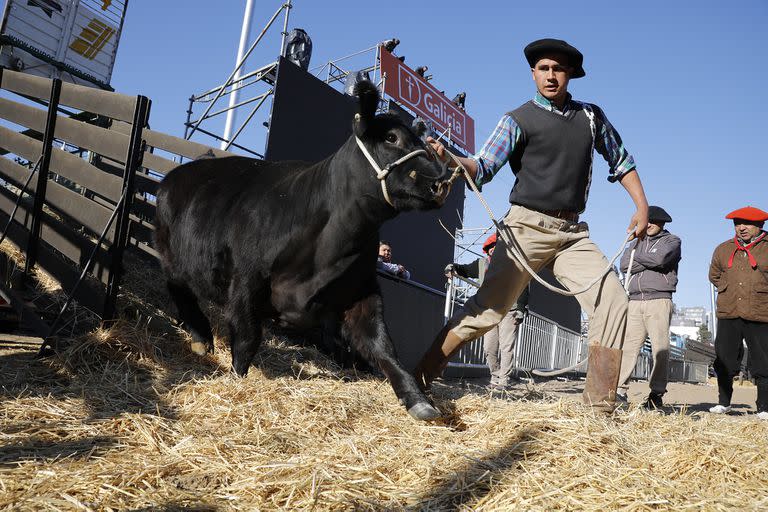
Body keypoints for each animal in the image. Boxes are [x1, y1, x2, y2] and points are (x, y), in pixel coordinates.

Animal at [156, 81, 456, 420]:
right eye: (392, 138)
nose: (442, 182)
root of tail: (181, 172)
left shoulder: (362, 290)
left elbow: (384, 347)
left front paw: (418, 399)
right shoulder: (246, 280)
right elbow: (247, 338)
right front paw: (237, 380)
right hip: (171, 255)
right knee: (179, 289)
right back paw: (200, 337)